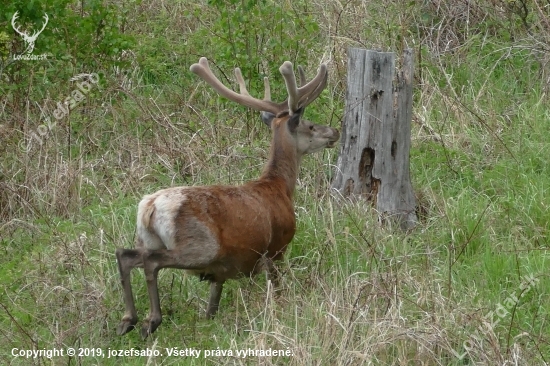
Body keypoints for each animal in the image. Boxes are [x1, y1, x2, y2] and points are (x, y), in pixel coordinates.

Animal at [116, 55, 340, 338]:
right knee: (150, 261)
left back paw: (128, 319)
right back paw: (151, 320)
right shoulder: (276, 249)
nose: (334, 131)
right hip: (200, 245)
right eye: (310, 125)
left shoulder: (219, 271)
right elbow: (277, 293)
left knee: (125, 254)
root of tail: (150, 207)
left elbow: (212, 307)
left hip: (150, 239)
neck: (279, 188)